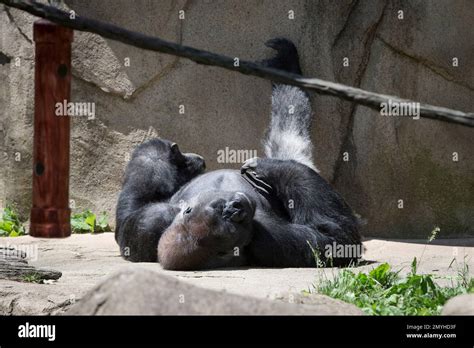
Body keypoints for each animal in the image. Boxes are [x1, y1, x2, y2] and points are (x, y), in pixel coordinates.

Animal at [115, 39, 362, 270]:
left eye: (220, 206)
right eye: (226, 217)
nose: (236, 206)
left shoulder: (151, 222)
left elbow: (133, 206)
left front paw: (172, 159)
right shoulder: (264, 234)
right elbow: (333, 239)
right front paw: (265, 168)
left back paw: (285, 66)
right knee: (294, 157)